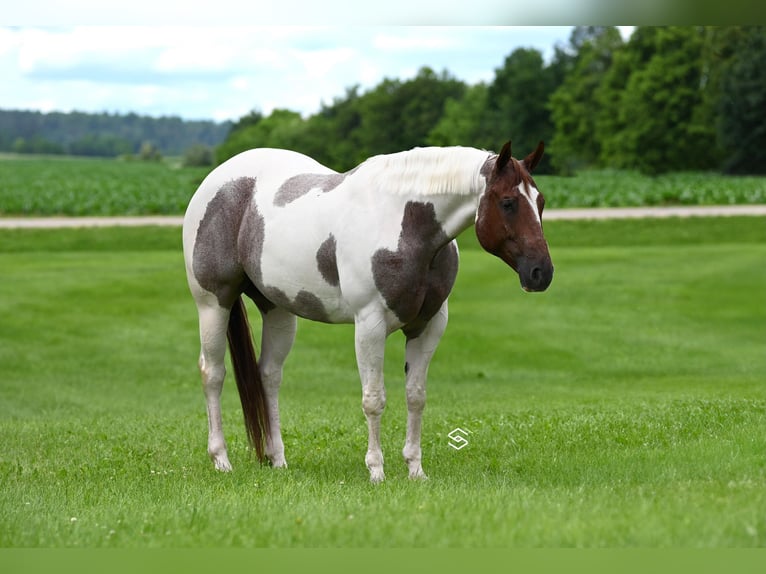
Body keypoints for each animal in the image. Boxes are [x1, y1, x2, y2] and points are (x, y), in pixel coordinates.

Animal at [182, 140, 553, 483]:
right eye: (508, 203)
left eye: (541, 202)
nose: (541, 273)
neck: (405, 224)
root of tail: (218, 180)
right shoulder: (369, 325)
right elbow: (374, 398)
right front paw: (376, 470)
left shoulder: (429, 326)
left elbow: (416, 396)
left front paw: (415, 470)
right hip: (213, 303)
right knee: (212, 373)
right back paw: (221, 459)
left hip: (278, 309)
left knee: (269, 376)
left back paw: (278, 460)